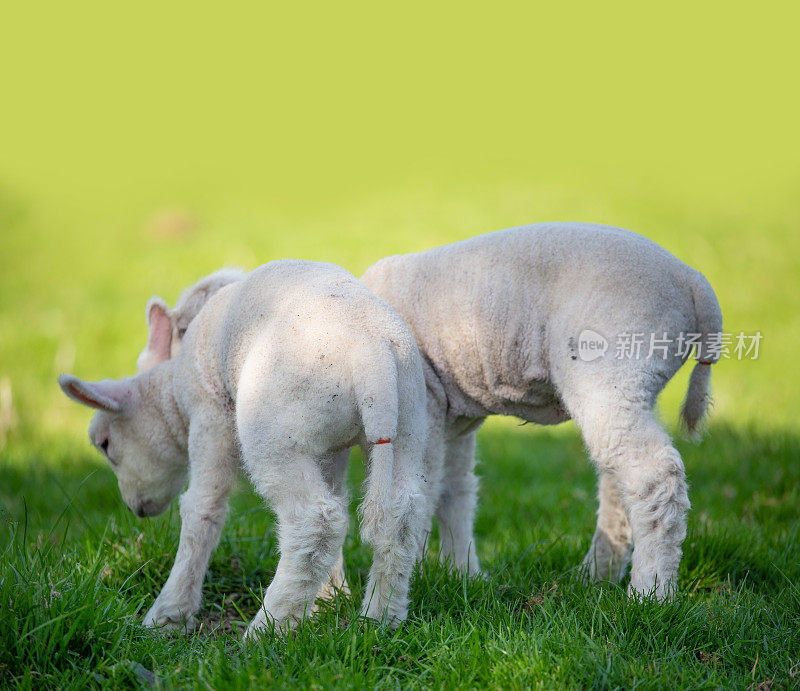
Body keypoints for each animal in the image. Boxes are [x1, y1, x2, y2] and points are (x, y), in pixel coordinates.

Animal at [57, 260, 432, 636]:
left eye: (105, 443)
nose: (136, 508)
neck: (173, 387)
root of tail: (373, 357)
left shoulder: (209, 414)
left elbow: (202, 510)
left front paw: (168, 615)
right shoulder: (329, 448)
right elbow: (338, 496)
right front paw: (327, 598)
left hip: (273, 430)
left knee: (314, 521)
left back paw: (267, 630)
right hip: (407, 421)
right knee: (399, 517)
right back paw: (380, 618)